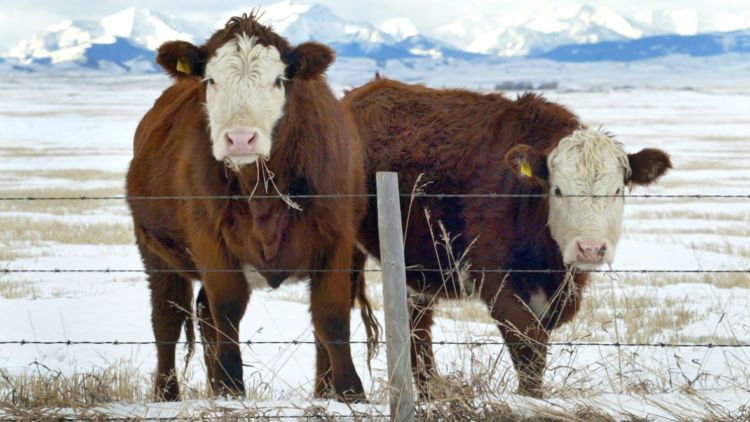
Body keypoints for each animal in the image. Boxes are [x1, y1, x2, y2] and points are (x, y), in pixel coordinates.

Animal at [344, 76, 672, 398]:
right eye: (558, 190)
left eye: (617, 190)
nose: (590, 249)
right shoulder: (496, 282)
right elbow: (528, 349)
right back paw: (346, 391)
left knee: (417, 325)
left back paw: (429, 392)